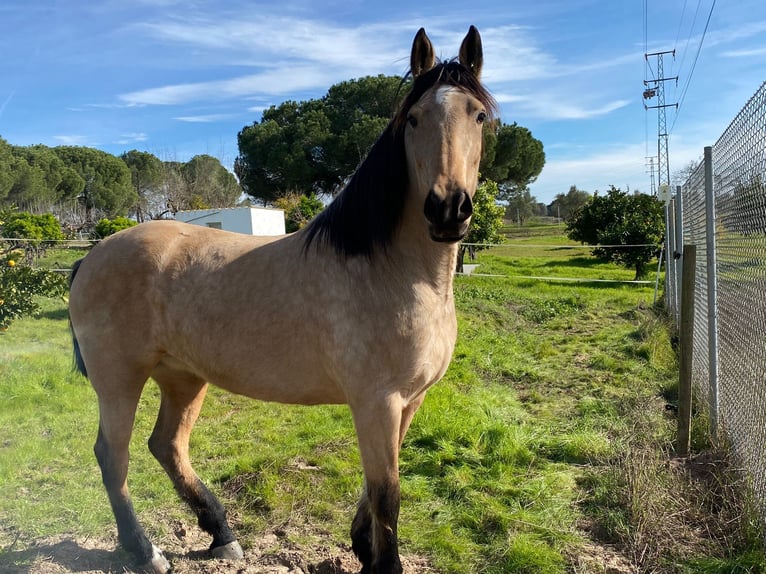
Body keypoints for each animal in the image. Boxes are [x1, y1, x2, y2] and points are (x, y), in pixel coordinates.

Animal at [67, 24, 498, 572]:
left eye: (478, 115)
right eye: (414, 118)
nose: (448, 210)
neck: (396, 272)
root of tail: (92, 257)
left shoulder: (409, 401)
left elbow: (377, 488)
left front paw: (362, 545)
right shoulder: (378, 401)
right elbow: (388, 494)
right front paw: (380, 561)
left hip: (183, 376)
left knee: (167, 446)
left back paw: (221, 532)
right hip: (120, 379)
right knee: (113, 456)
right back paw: (144, 550)